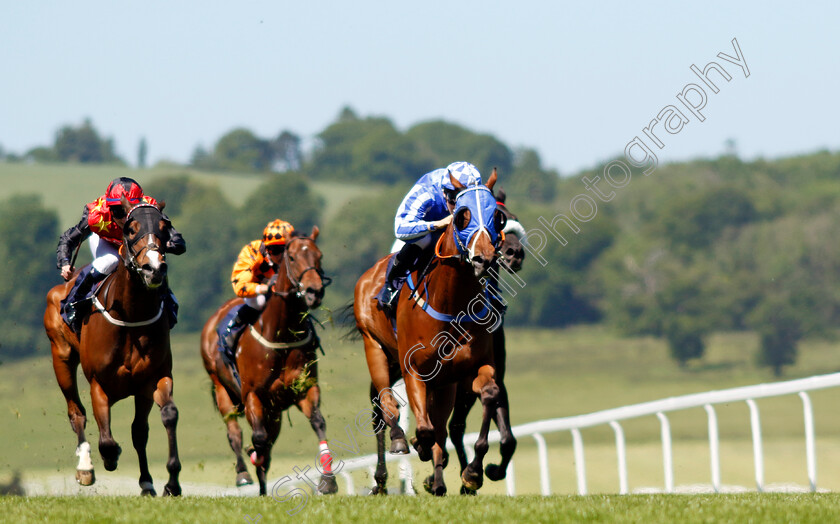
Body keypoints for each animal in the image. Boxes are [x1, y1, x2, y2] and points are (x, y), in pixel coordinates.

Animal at [44, 196, 180, 496]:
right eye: (130, 229)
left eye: (165, 227)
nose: (155, 268)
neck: (131, 315)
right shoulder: (99, 384)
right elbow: (105, 439)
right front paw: (110, 457)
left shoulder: (153, 379)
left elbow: (163, 418)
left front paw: (169, 482)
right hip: (61, 358)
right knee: (76, 413)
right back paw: (85, 468)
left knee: (138, 430)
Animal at [200, 225, 338, 496]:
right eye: (292, 257)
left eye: (319, 255)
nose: (314, 292)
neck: (281, 333)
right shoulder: (252, 394)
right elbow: (258, 439)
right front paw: (254, 455)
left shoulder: (303, 387)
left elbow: (318, 422)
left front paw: (327, 480)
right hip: (222, 389)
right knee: (235, 432)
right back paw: (243, 474)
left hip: (273, 411)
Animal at [352, 169, 516, 496]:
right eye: (463, 215)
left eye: (498, 217)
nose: (485, 258)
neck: (451, 301)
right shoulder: (414, 369)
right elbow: (426, 430)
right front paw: (418, 444)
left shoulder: (476, 368)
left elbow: (489, 397)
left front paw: (474, 473)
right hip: (376, 349)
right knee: (383, 407)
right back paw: (393, 453)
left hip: (441, 383)